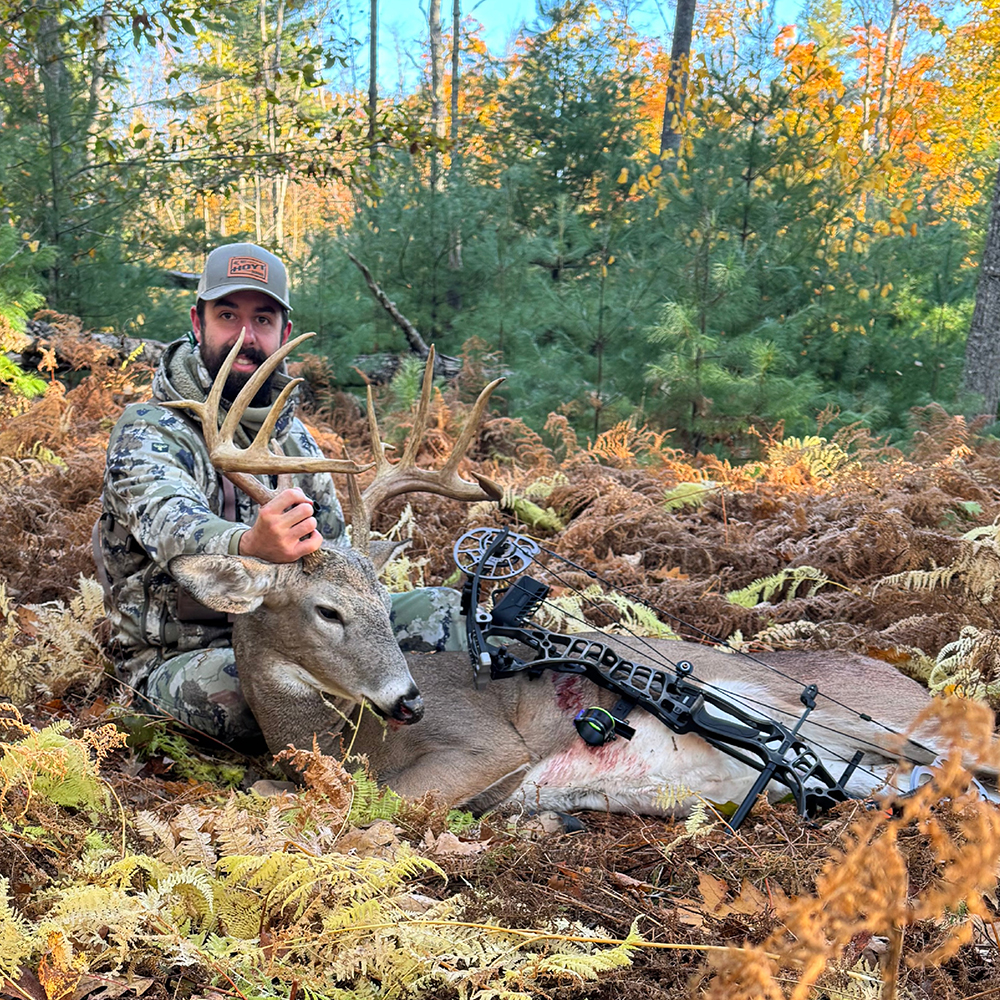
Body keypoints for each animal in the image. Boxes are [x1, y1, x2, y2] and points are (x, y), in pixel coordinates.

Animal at [167, 333, 951, 819]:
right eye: (327, 610)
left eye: (385, 608)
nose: (409, 700)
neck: (345, 742)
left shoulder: (485, 744)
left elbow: (364, 804)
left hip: (874, 717)